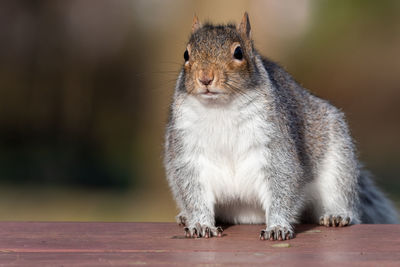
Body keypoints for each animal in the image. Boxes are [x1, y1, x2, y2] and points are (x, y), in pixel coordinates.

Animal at [162, 13, 396, 242]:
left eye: (238, 52)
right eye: (186, 54)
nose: (205, 78)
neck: (220, 109)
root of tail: (247, 215)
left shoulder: (275, 143)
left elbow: (282, 181)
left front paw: (277, 226)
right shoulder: (188, 152)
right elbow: (193, 191)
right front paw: (200, 224)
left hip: (338, 165)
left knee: (341, 197)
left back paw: (337, 215)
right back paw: (185, 217)